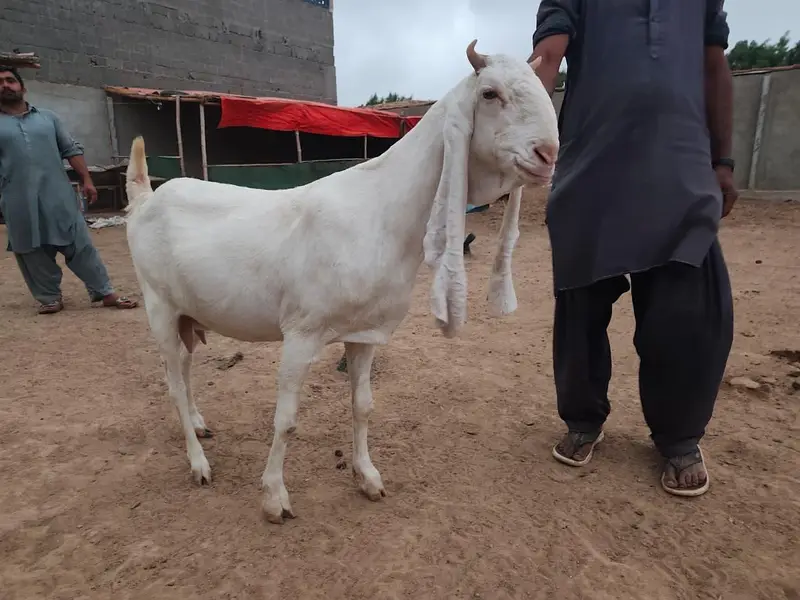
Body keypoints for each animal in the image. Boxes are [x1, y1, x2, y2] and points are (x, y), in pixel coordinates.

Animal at [124, 40, 559, 524]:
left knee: (182, 370)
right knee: (172, 383)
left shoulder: (365, 333)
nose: (548, 153)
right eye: (489, 93)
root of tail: (144, 198)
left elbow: (363, 405)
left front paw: (367, 476)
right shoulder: (301, 332)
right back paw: (199, 463)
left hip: (188, 312)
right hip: (159, 305)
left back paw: (200, 425)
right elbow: (286, 420)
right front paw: (274, 498)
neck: (380, 212)